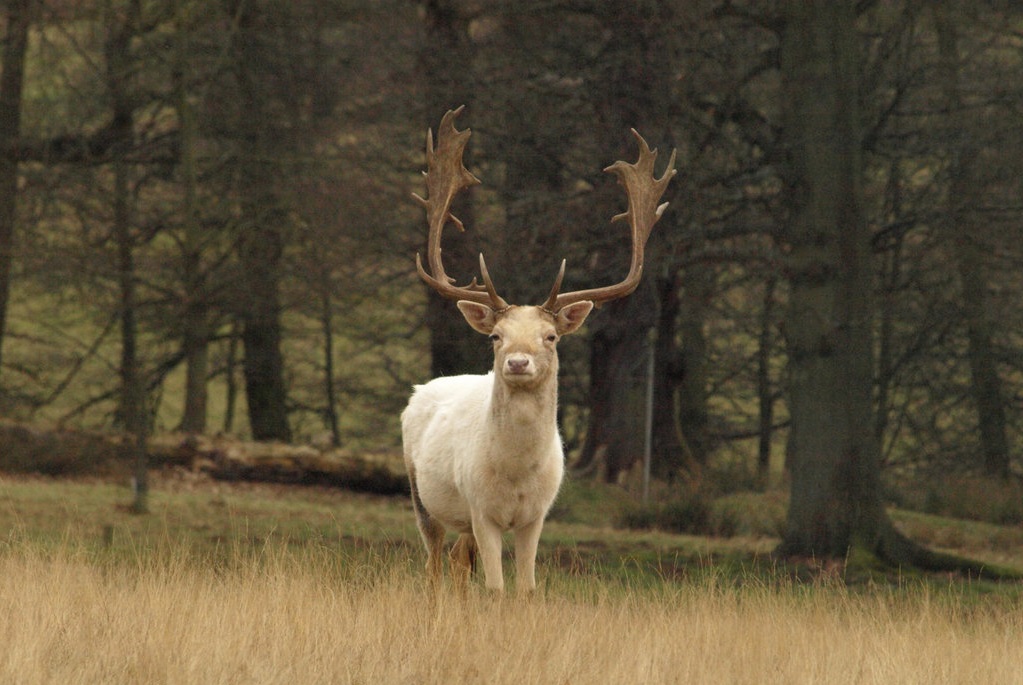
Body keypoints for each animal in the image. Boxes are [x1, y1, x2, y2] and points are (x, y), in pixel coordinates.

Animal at [401, 107, 679, 597]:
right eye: (496, 336)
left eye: (551, 336)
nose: (517, 362)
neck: (516, 478)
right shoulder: (482, 511)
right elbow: (496, 589)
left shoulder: (536, 516)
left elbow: (526, 589)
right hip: (422, 494)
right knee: (434, 566)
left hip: (461, 520)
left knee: (456, 563)